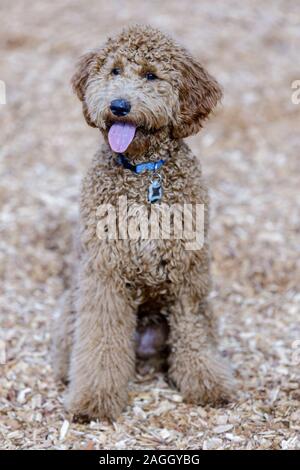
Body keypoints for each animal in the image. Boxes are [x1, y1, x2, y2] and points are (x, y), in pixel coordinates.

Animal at [52, 23, 234, 420]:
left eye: (151, 75)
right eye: (114, 70)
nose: (119, 105)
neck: (143, 172)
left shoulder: (188, 277)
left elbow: (194, 336)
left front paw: (208, 385)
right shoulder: (105, 275)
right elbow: (101, 341)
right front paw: (93, 400)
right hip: (73, 304)